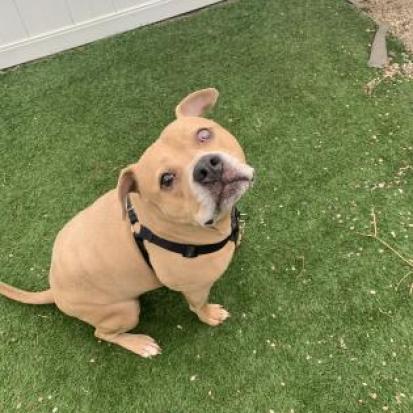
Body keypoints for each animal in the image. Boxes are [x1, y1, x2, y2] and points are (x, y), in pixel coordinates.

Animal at [0, 87, 253, 358]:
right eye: (166, 179)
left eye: (204, 134)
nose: (207, 168)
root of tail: (54, 290)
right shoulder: (195, 286)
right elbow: (199, 305)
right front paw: (210, 315)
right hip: (125, 310)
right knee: (102, 333)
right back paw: (140, 344)